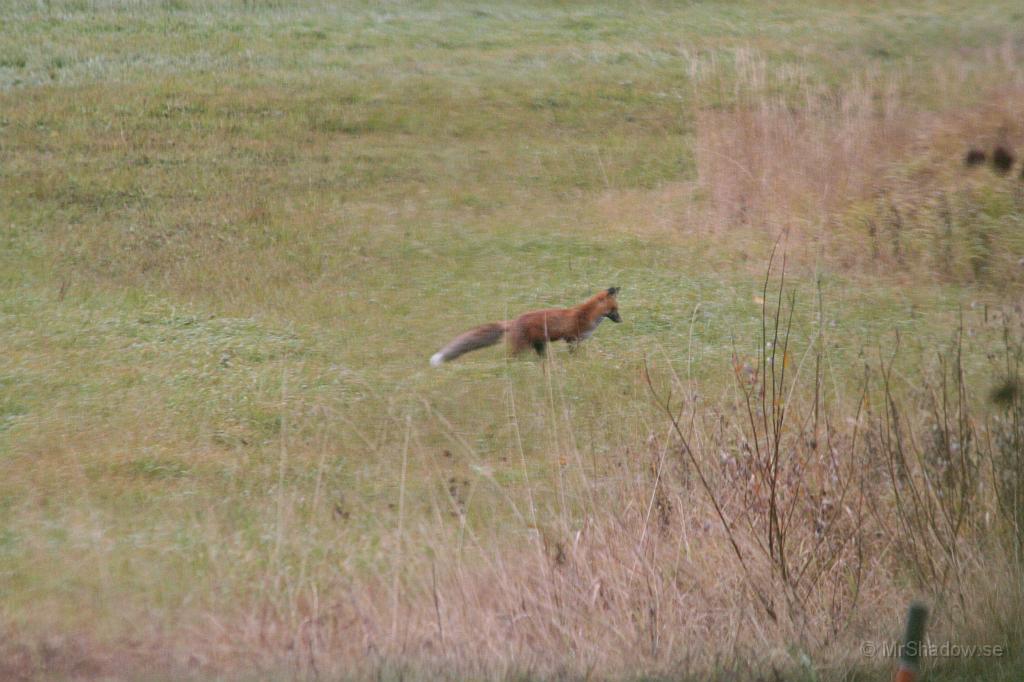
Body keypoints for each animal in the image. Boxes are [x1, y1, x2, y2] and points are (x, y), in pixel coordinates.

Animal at [428, 284, 618, 364]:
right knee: (511, 358)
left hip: (539, 345)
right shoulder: (572, 338)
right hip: (522, 348)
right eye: (614, 310)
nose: (620, 320)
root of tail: (513, 321)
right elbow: (574, 353)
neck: (587, 315)